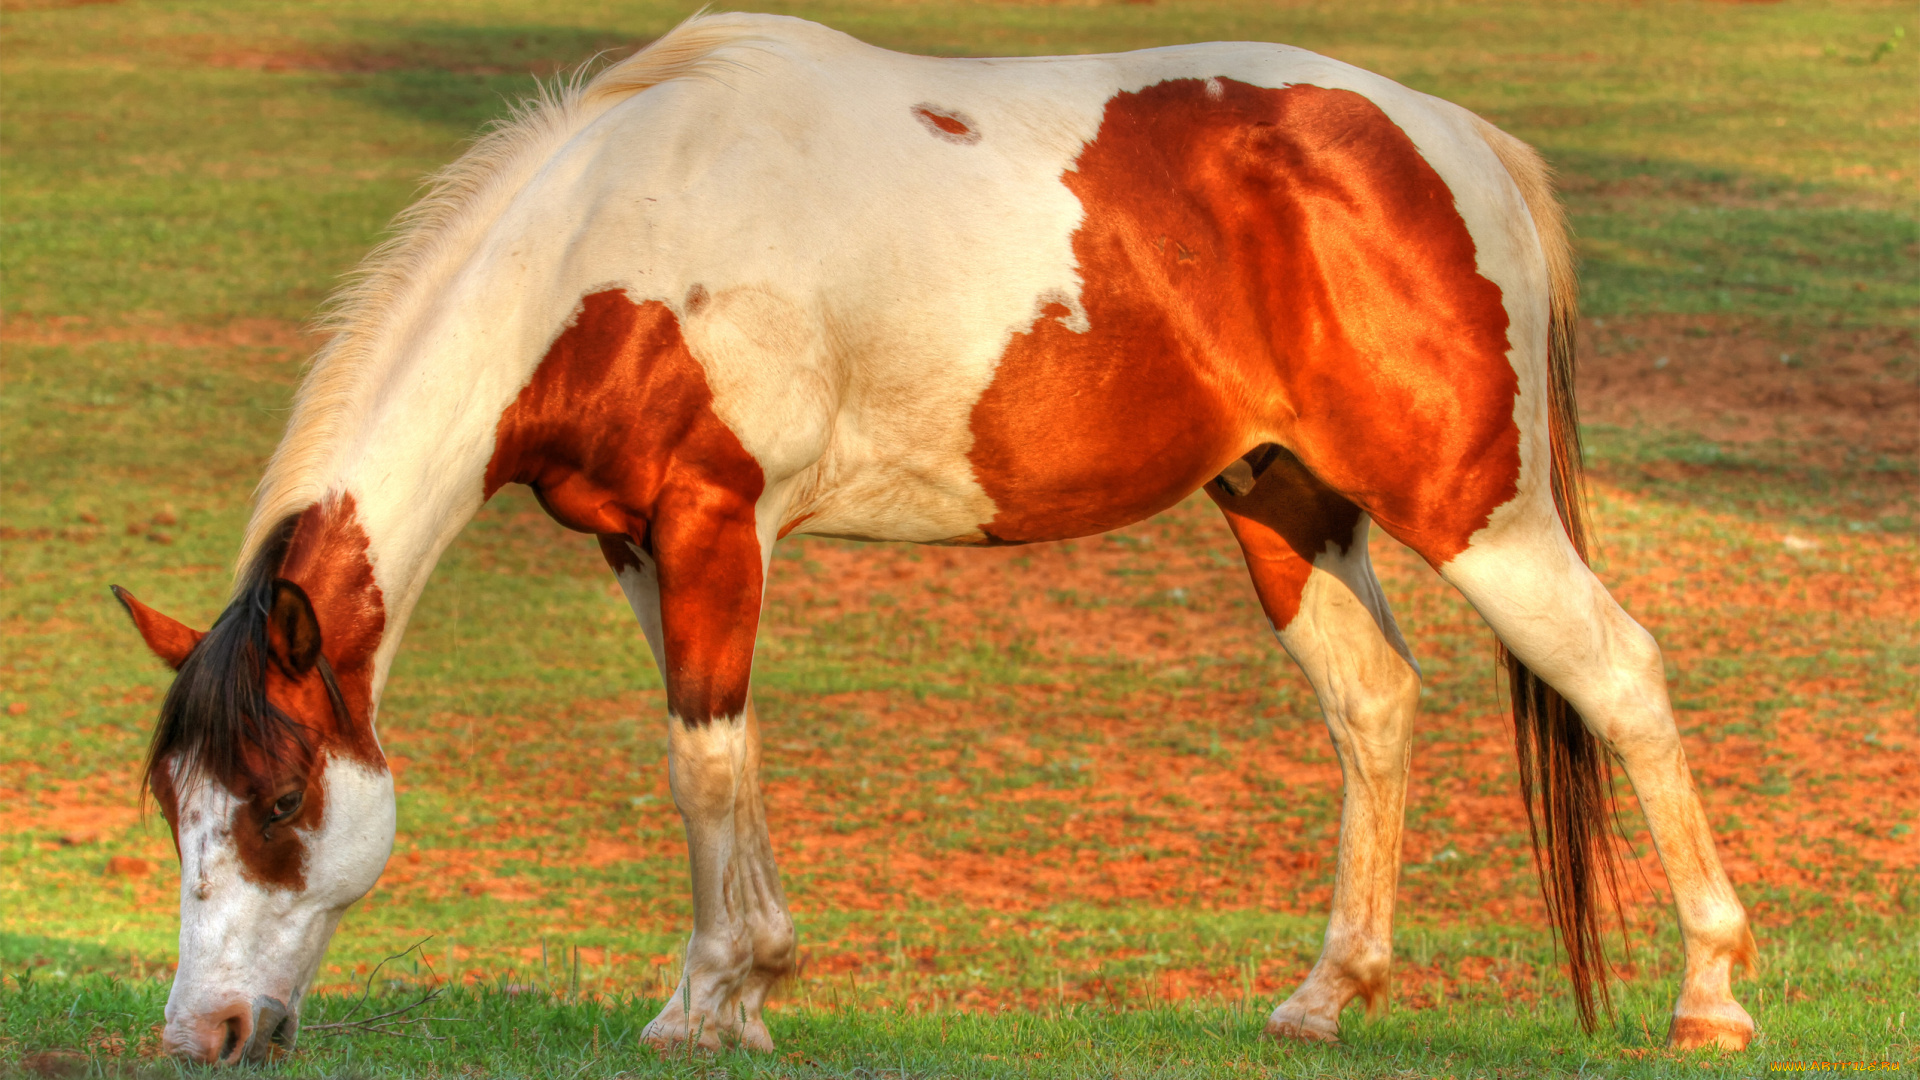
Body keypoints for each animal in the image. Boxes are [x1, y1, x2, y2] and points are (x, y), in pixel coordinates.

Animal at [112, 11, 1758, 1064]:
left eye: (276, 801)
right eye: (175, 811)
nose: (204, 1033)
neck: (611, 241)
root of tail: (1451, 142)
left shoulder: (715, 521)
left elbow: (700, 760)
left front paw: (706, 1004)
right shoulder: (642, 545)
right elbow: (722, 751)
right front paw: (747, 990)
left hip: (1478, 516)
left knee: (1621, 674)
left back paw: (1712, 1000)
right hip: (1285, 507)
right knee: (1376, 706)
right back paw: (1322, 1000)